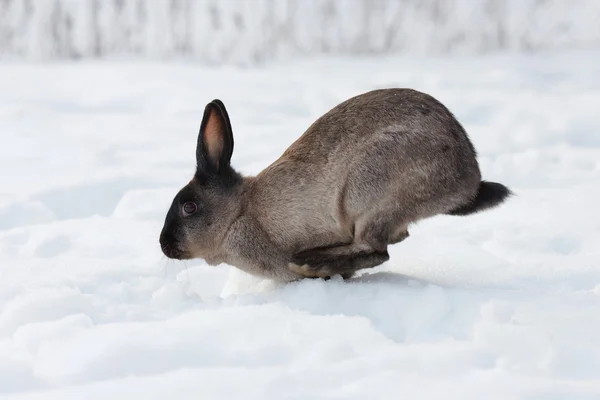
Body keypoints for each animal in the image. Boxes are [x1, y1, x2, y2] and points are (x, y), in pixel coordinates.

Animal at [159, 88, 510, 282]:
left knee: (376, 250)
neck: (239, 213)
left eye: (189, 207)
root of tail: (466, 180)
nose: (164, 244)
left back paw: (310, 263)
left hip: (369, 190)